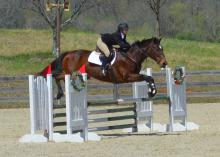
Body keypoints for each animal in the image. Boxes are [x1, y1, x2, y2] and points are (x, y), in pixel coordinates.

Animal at [38, 37, 168, 99]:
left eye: (162, 48)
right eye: (156, 49)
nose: (164, 63)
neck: (130, 57)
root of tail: (68, 53)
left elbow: (149, 78)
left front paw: (152, 91)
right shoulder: (127, 77)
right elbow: (147, 77)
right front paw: (152, 92)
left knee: (59, 77)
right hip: (68, 72)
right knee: (57, 76)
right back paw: (59, 94)